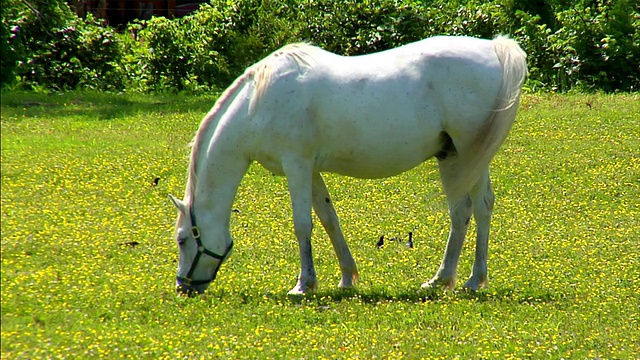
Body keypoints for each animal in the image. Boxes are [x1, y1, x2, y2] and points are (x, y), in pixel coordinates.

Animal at [169, 35, 524, 296]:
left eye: (183, 239)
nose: (184, 287)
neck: (259, 102)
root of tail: (495, 48)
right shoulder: (311, 170)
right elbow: (329, 219)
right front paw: (346, 277)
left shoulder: (296, 165)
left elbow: (302, 225)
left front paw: (303, 285)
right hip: (461, 158)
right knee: (476, 209)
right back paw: (459, 279)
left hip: (464, 155)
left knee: (468, 211)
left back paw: (456, 280)